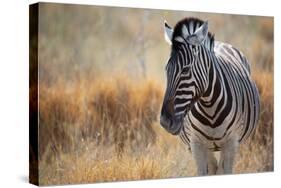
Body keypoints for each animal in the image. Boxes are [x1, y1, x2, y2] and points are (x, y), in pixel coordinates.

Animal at [159, 17, 260, 175]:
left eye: (185, 70)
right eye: (166, 69)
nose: (164, 121)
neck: (209, 107)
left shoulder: (231, 143)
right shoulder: (196, 145)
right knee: (213, 167)